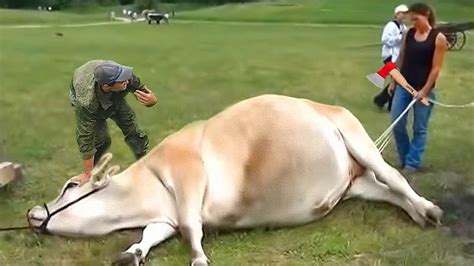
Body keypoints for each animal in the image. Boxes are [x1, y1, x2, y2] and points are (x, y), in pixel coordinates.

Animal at [26, 94, 440, 264]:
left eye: (70, 186)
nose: (32, 212)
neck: (147, 189)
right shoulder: (164, 217)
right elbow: (154, 233)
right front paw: (132, 253)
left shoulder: (188, 170)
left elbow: (191, 227)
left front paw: (198, 259)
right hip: (356, 184)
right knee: (389, 192)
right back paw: (416, 213)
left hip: (355, 136)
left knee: (395, 178)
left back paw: (429, 210)